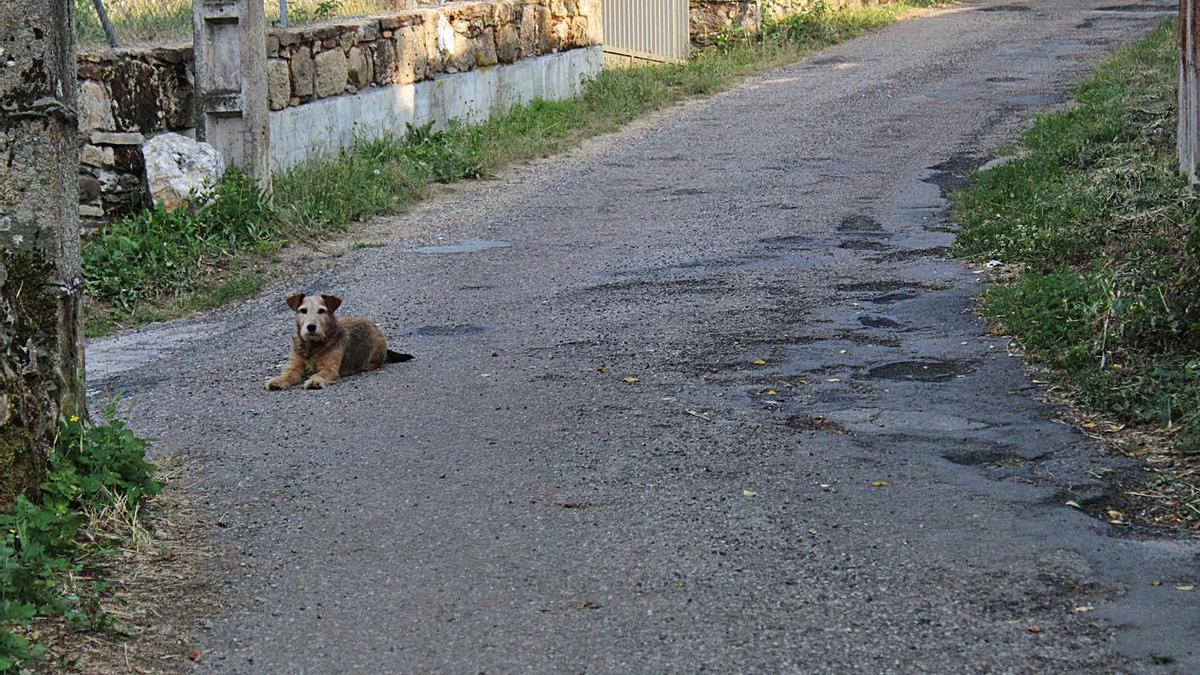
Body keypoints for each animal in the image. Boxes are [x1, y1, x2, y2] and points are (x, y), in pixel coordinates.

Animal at [262, 290, 412, 389]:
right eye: (303, 310)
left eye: (321, 311)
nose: (311, 327)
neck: (312, 346)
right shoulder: (295, 366)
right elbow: (288, 373)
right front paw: (278, 381)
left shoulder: (330, 369)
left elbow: (322, 374)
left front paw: (315, 380)